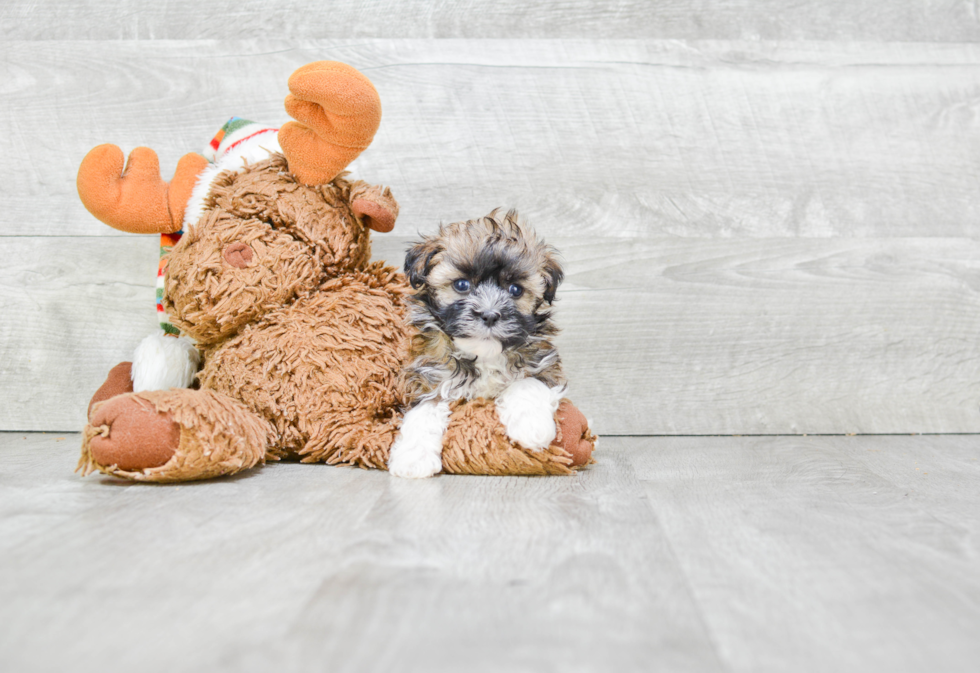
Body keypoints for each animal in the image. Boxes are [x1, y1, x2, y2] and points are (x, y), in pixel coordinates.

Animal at [384, 210, 564, 478]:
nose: (489, 315)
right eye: (462, 285)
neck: (483, 354)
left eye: (515, 290)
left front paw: (533, 427)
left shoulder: (542, 362)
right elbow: (425, 410)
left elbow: (527, 382)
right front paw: (412, 458)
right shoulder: (428, 375)